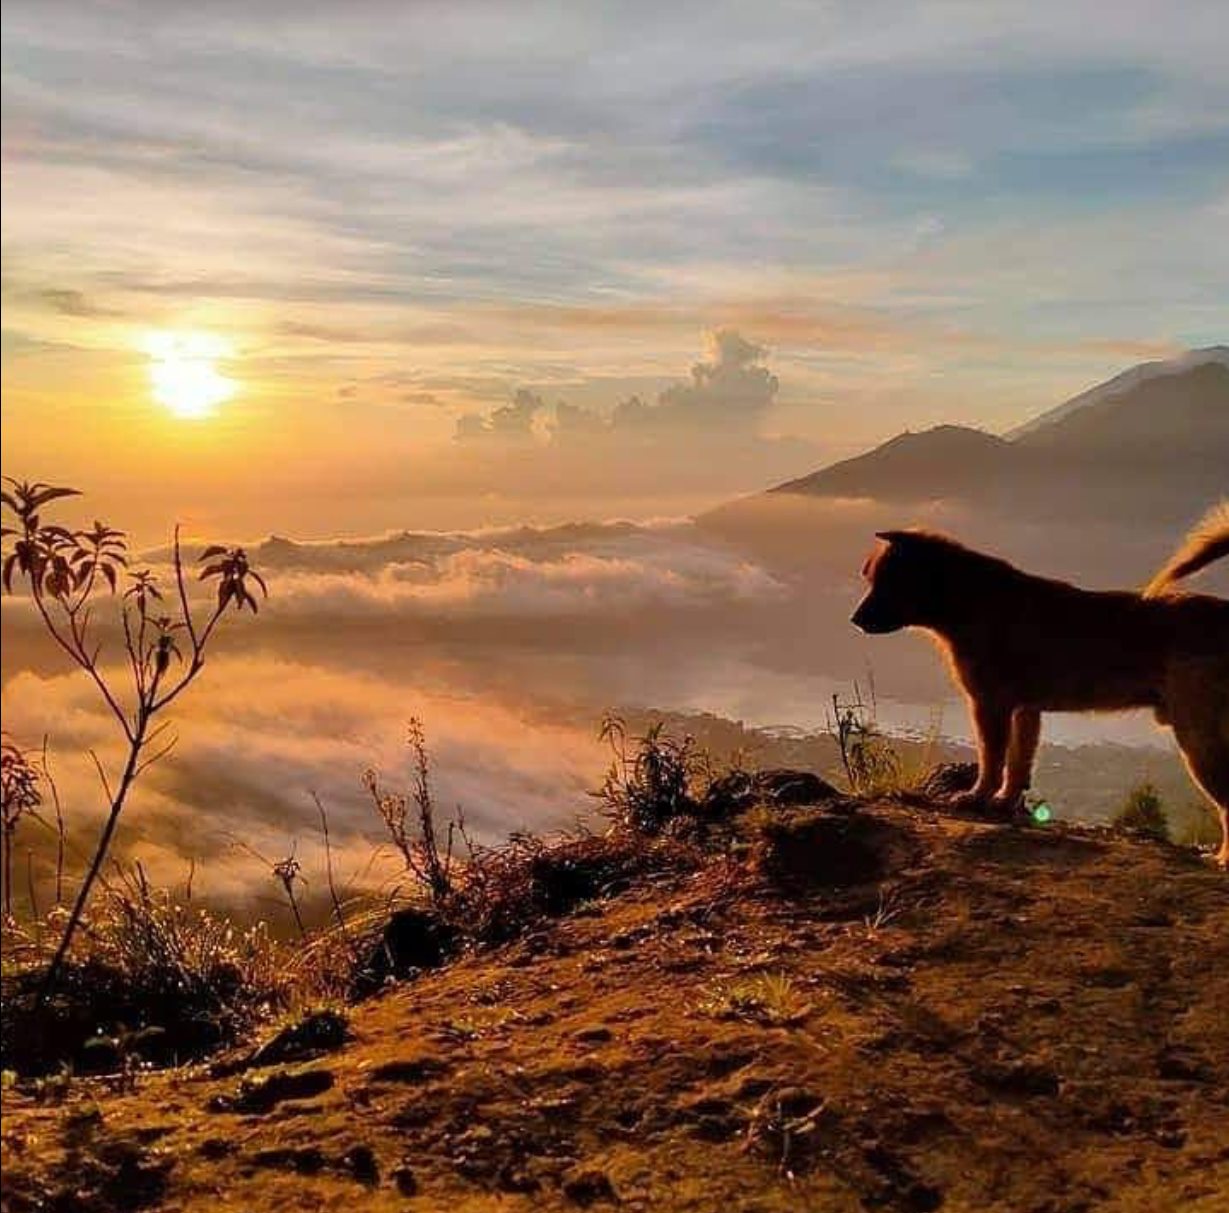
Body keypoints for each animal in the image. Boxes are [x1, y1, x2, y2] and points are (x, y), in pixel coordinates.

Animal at [850, 506, 1229, 870]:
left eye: (884, 581)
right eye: (870, 578)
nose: (854, 620)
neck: (970, 597)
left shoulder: (990, 706)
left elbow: (992, 759)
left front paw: (977, 797)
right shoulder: (1025, 711)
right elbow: (1018, 764)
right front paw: (1003, 802)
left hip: (1197, 739)